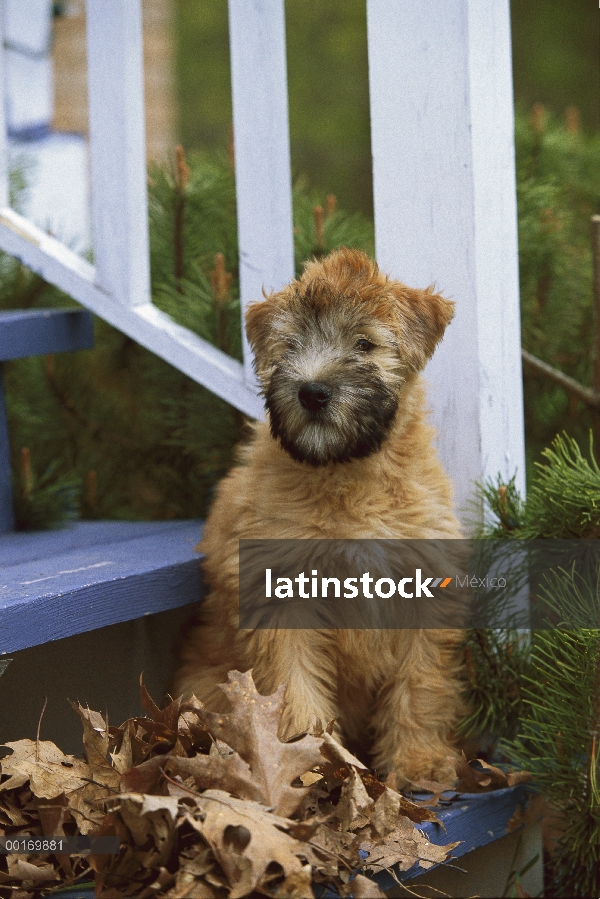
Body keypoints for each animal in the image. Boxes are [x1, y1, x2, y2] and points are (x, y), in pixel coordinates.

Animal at [173, 246, 464, 788]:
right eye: (289, 345)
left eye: (365, 343)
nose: (311, 391)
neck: (348, 475)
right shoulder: (282, 601)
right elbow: (294, 687)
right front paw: (310, 761)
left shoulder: (422, 592)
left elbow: (420, 685)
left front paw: (419, 762)